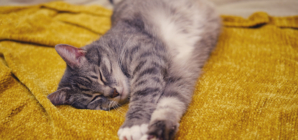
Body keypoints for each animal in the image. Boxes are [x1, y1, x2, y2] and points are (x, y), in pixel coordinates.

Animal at [47, 0, 221, 139]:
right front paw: (155, 129)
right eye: (94, 98)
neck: (113, 45)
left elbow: (143, 94)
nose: (114, 93)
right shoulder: (178, 71)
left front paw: (132, 125)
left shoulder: (147, 57)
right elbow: (170, 101)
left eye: (101, 75)